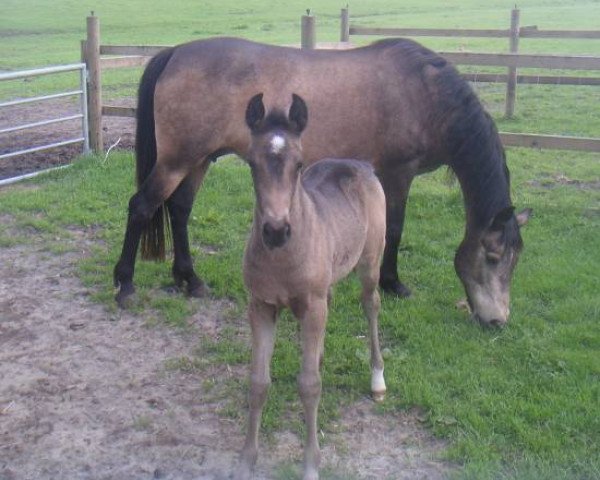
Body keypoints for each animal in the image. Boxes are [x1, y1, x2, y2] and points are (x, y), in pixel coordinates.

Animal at [115, 36, 532, 326]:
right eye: (493, 257)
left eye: (516, 259)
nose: (497, 320)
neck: (426, 95)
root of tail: (175, 52)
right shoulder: (398, 173)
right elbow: (394, 229)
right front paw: (392, 283)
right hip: (177, 160)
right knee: (141, 207)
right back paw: (125, 285)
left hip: (199, 159)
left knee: (179, 210)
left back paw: (190, 279)